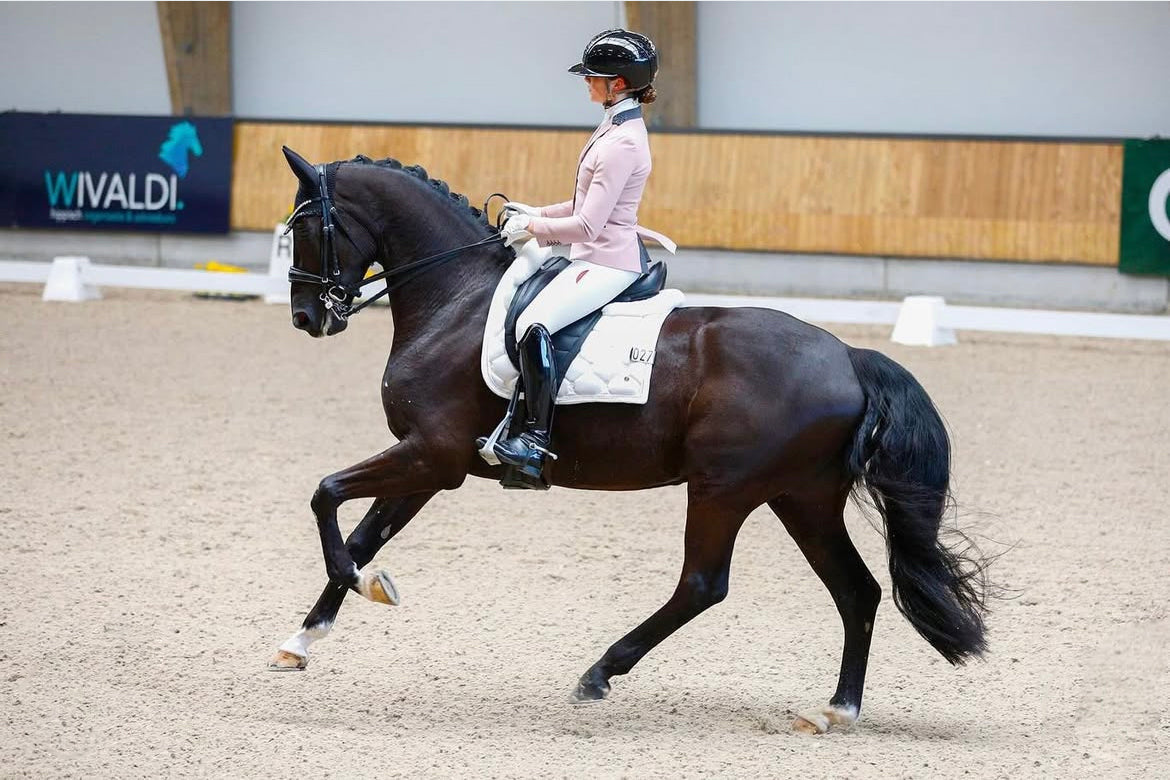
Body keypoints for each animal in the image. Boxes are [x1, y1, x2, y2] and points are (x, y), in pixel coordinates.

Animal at [268, 146, 990, 734]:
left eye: (301, 227)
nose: (305, 317)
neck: (457, 300)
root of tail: (848, 355)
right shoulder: (428, 463)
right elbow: (362, 532)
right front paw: (302, 639)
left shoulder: (430, 455)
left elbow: (325, 495)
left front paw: (364, 586)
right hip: (802, 497)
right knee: (857, 591)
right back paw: (836, 709)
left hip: (723, 490)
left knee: (703, 584)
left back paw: (599, 672)